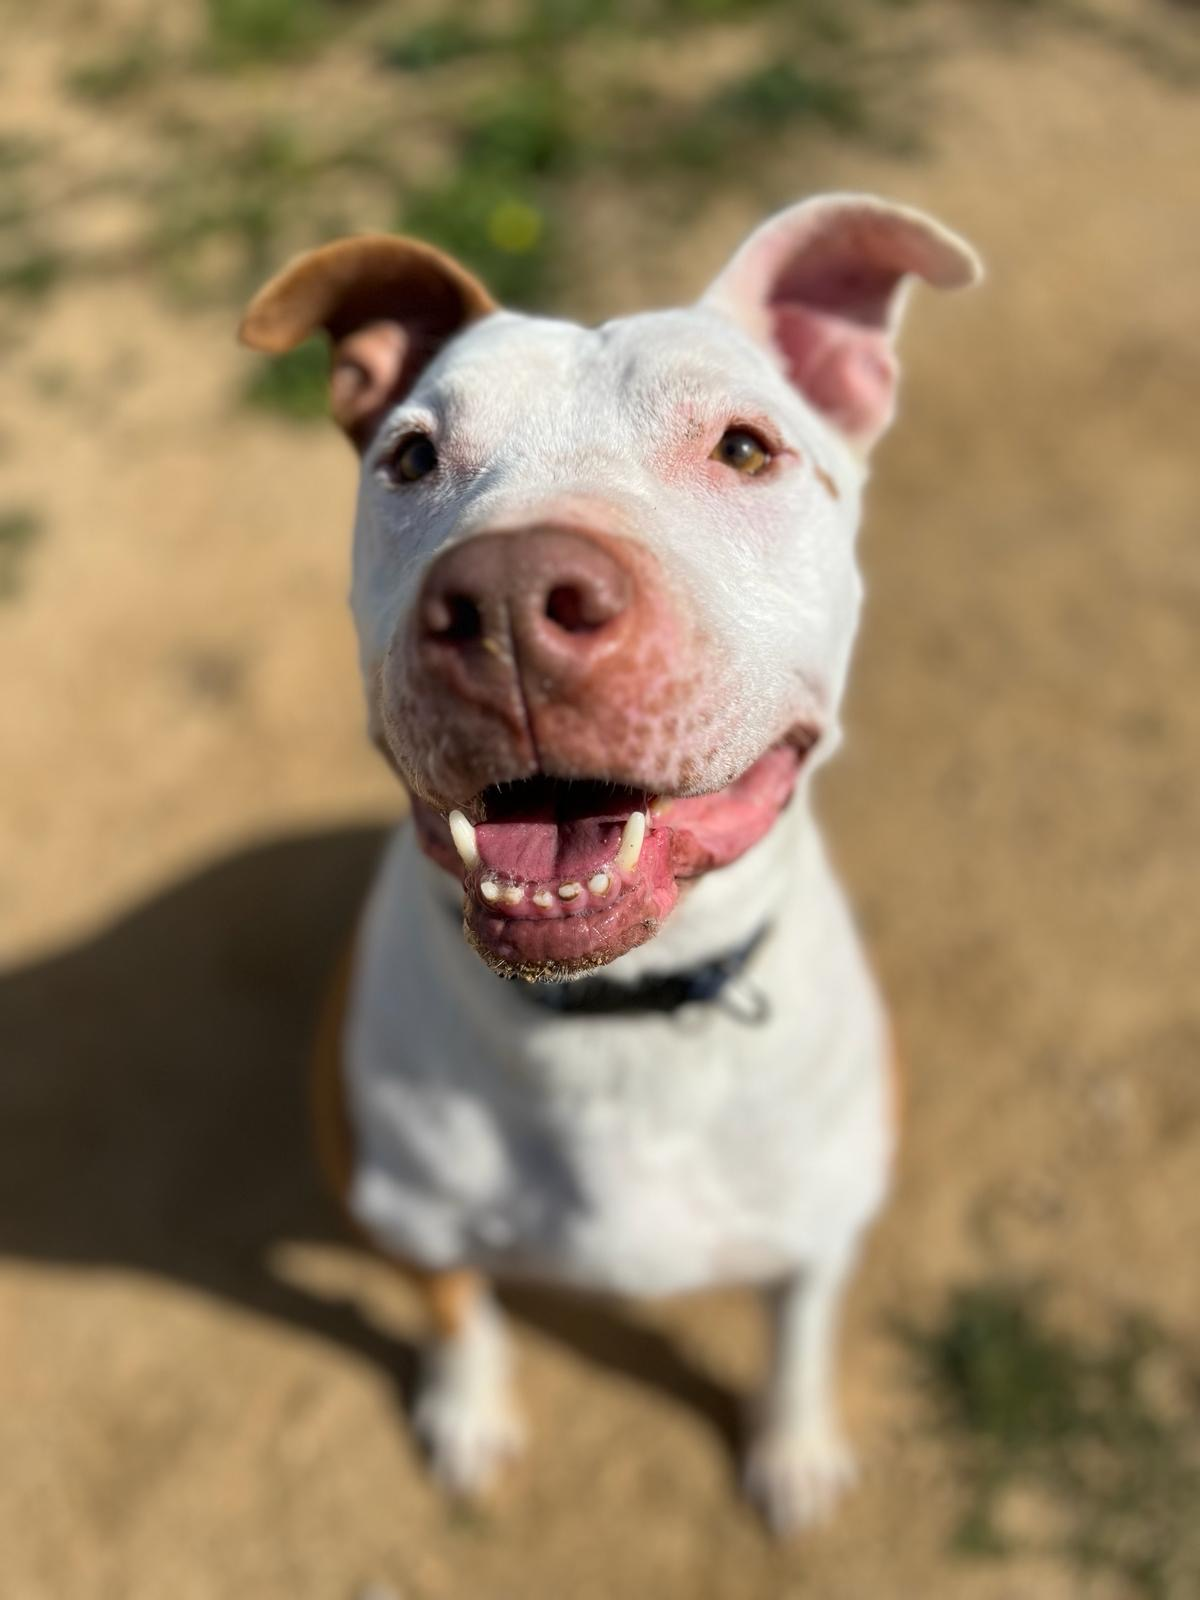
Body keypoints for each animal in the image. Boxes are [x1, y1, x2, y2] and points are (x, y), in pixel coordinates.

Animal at [240, 193, 980, 1534]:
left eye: (745, 448)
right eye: (410, 459)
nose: (508, 597)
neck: (615, 1018)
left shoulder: (824, 1225)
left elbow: (800, 1334)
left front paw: (794, 1447)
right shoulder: (404, 1215)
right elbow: (459, 1311)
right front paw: (469, 1417)